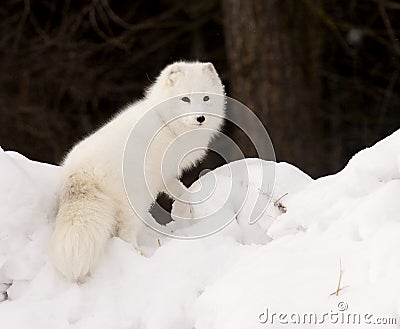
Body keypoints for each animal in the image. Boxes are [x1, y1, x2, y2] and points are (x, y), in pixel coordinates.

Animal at [49, 60, 225, 280]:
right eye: (185, 99)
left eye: (206, 98)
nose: (200, 118)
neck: (165, 123)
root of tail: (79, 171)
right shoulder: (163, 171)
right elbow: (177, 190)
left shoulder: (165, 173)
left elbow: (179, 190)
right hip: (136, 202)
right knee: (124, 234)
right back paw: (139, 256)